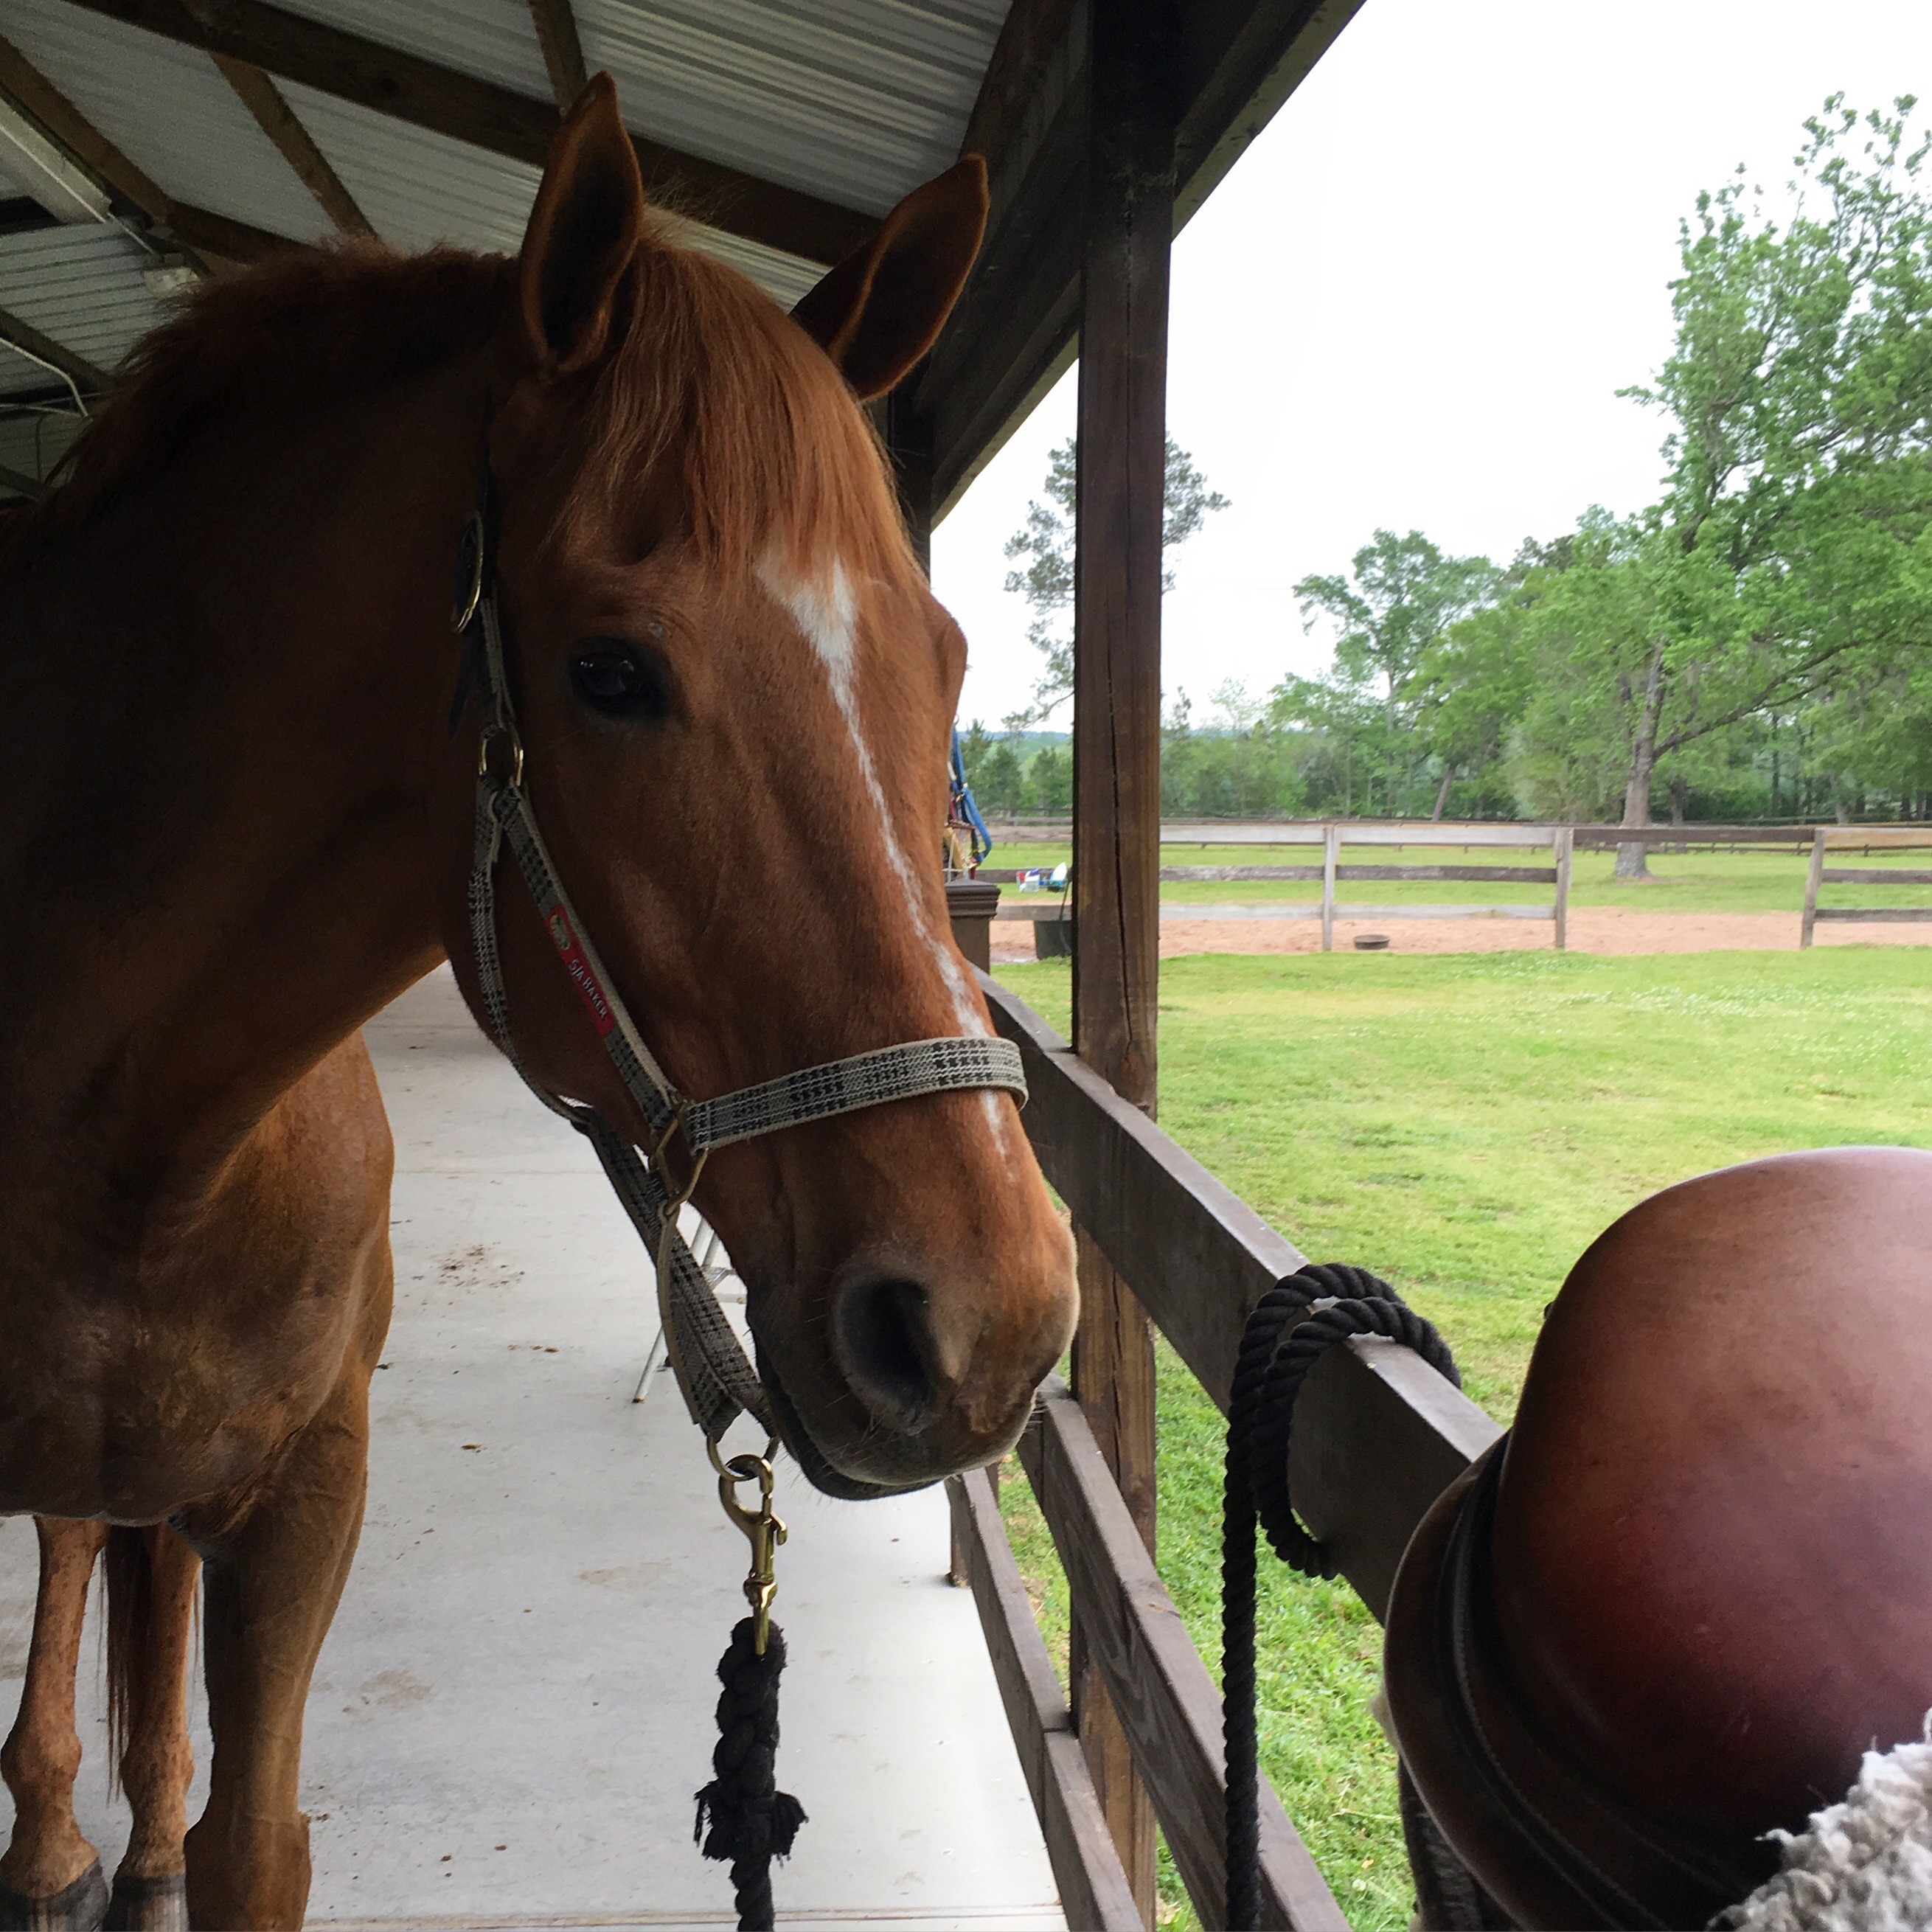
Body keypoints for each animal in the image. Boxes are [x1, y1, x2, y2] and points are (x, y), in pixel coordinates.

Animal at [0, 74, 1076, 1930]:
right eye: (611, 671)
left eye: (938, 658)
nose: (989, 1318)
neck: (151, 1141)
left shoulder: (303, 1499)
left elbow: (248, 1840)